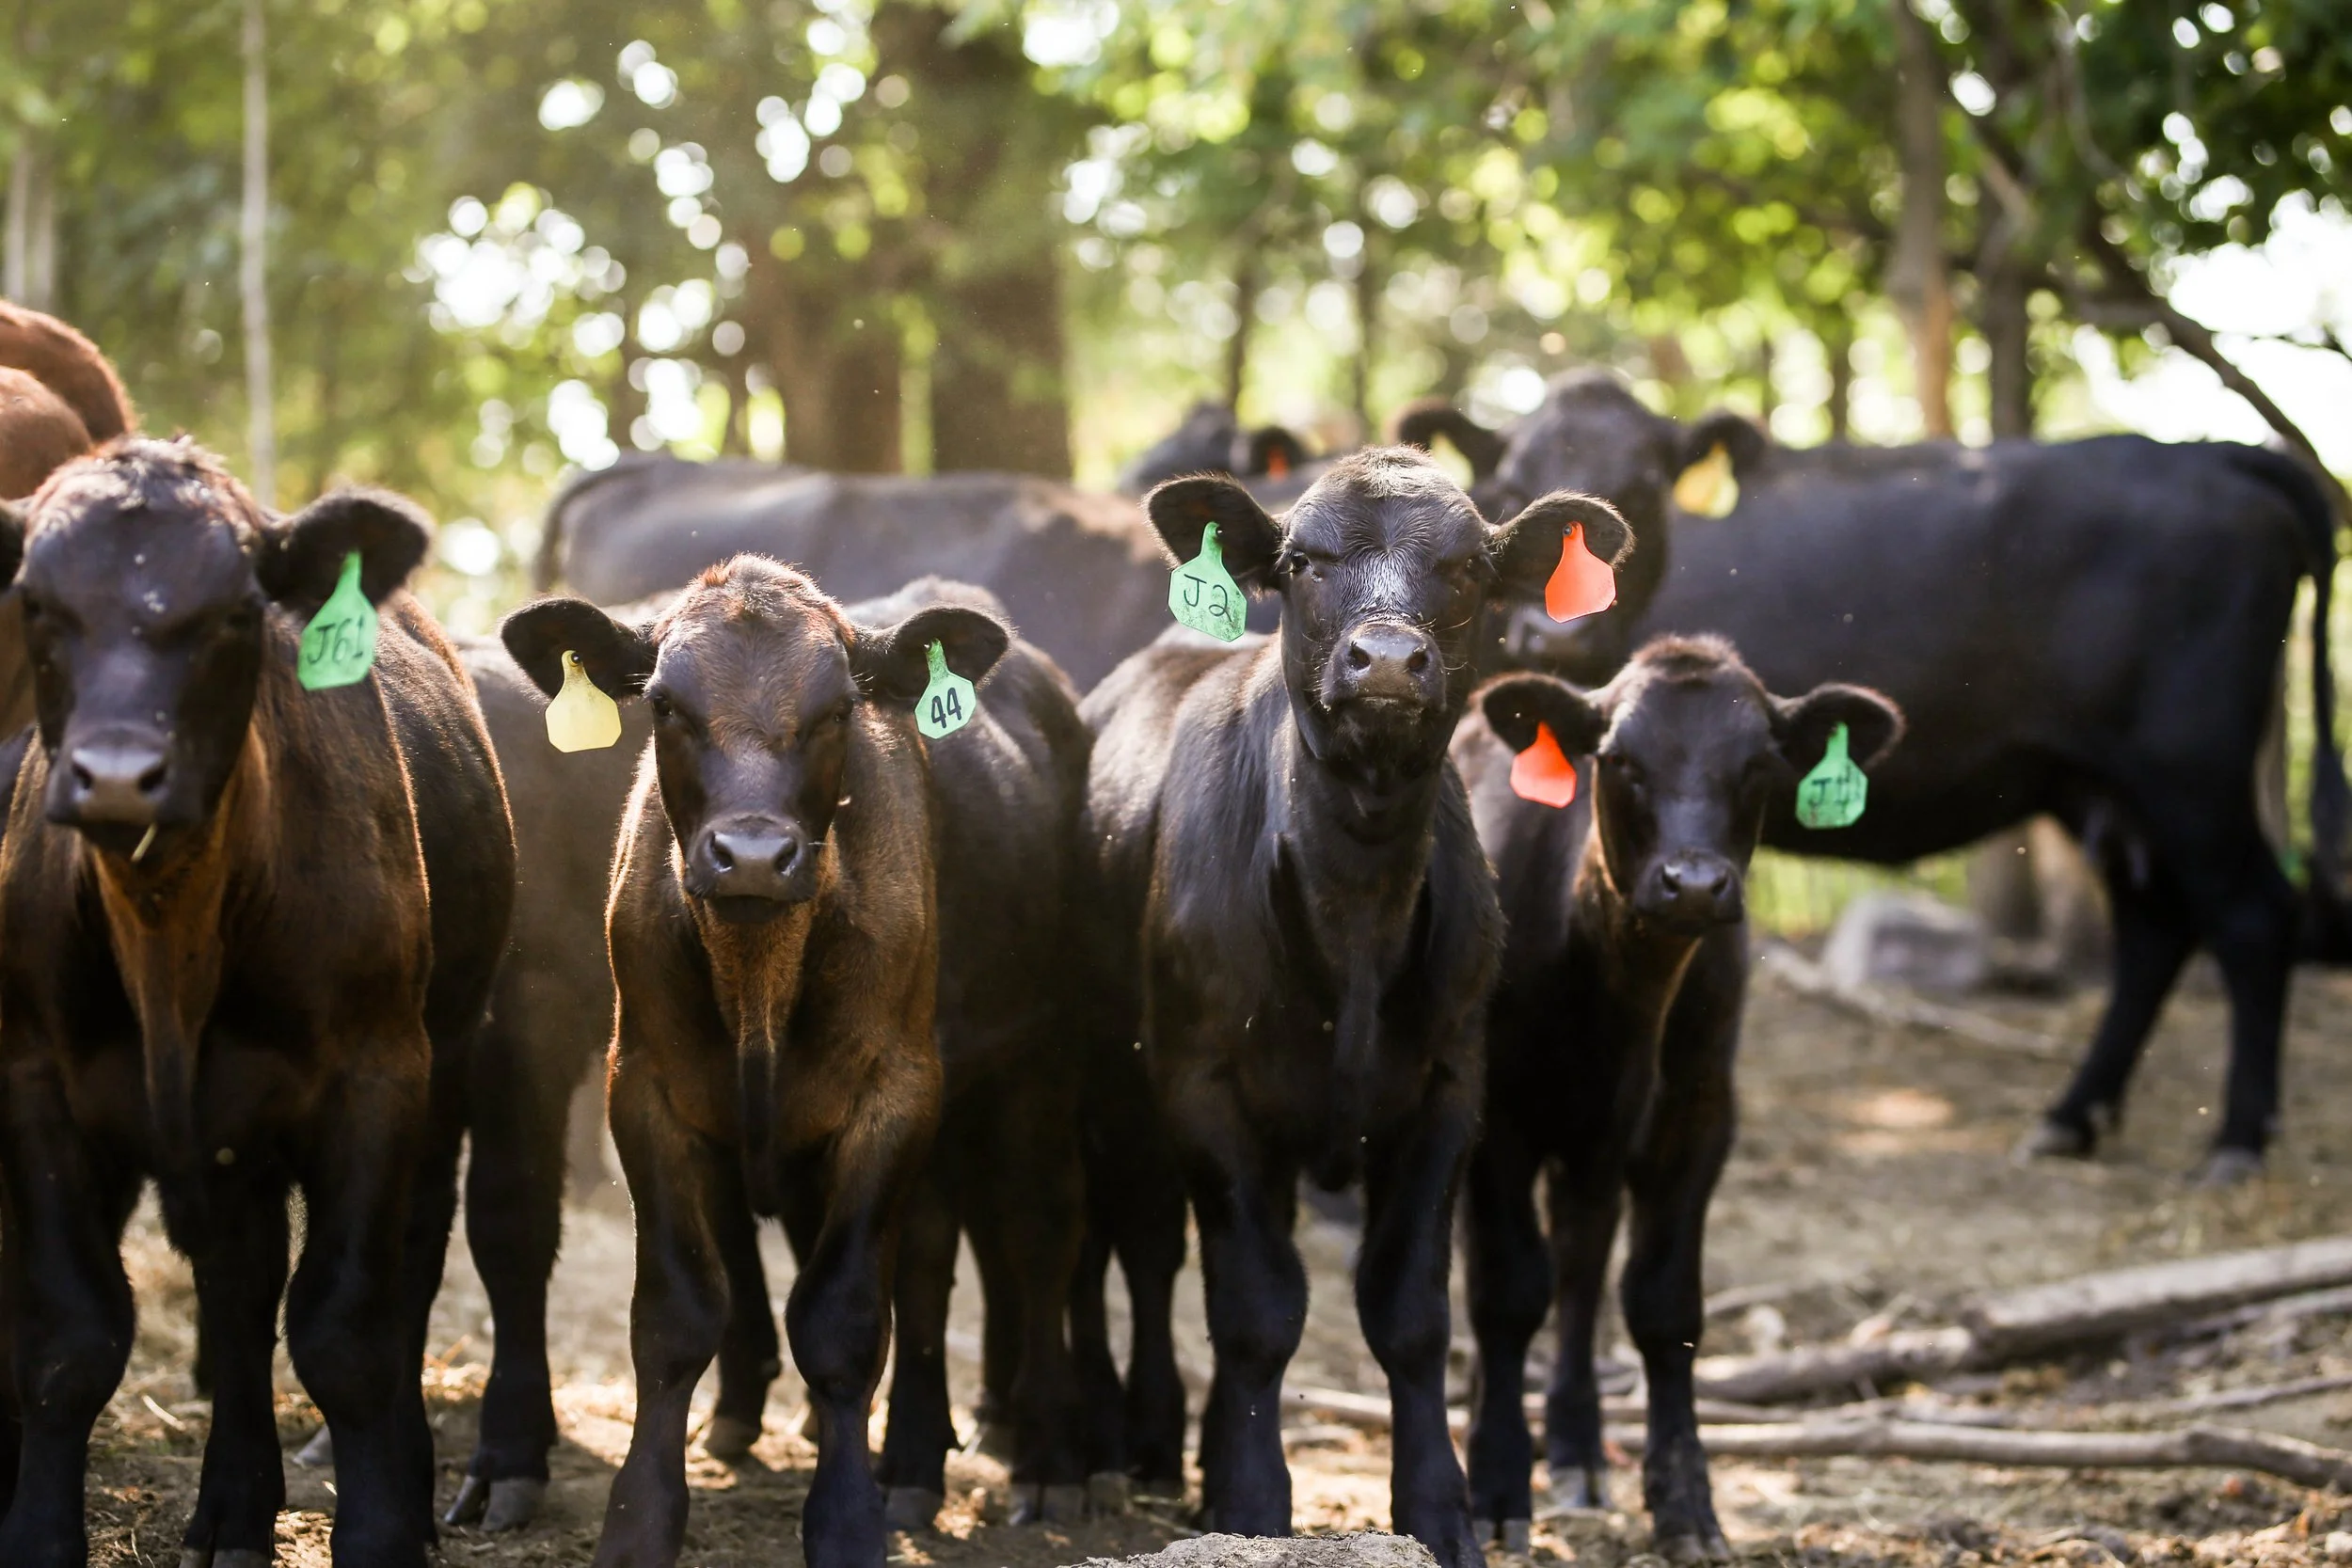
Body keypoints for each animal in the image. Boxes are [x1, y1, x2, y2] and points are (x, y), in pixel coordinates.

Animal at [0, 438, 513, 1568]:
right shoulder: (37, 1083)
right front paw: (41, 1533)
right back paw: (232, 1508)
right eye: (36, 603)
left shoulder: (377, 1074)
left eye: (237, 611)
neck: (171, 932)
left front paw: (378, 1531)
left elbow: (348, 1332)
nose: (117, 776)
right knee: (237, 1290)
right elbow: (69, 1338)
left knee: (406, 1266)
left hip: (445, 1064)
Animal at [498, 558, 1013, 1568]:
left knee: (923, 1272)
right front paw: (639, 1520)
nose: (751, 855)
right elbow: (675, 1312)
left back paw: (907, 1465)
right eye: (664, 703)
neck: (761, 974)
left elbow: (844, 1317)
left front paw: (849, 1519)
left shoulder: (898, 1092)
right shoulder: (643, 1088)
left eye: (838, 709)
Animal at [1070, 447, 1628, 1566]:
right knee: (1144, 1252)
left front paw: (1439, 1512)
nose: (1386, 661)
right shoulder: (1201, 1085)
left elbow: (1407, 1311)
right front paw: (1249, 1505)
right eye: (1301, 560)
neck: (1355, 910)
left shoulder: (1449, 1089)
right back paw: (1139, 1445)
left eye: (1467, 565)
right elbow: (1254, 1307)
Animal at [1427, 372, 2347, 1182]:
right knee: (2155, 926)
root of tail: (2214, 454)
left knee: (2252, 916)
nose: (1558, 636)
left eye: (1642, 492)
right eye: (1510, 485)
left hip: (2190, 769)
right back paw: (2071, 1118)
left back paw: (2235, 1141)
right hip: (2104, 786)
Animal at [1452, 640, 1903, 1562]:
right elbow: (1507, 1291)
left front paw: (1688, 1501)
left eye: (1759, 761)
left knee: (1582, 1263)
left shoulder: (1697, 1115)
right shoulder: (1497, 1117)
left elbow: (1663, 1306)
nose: (1693, 884)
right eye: (1620, 760)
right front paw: (1498, 1487)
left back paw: (1579, 1449)